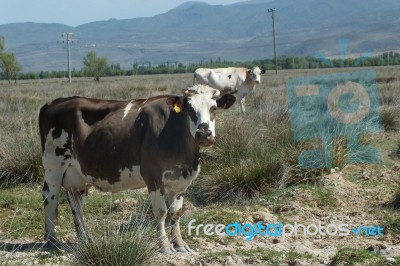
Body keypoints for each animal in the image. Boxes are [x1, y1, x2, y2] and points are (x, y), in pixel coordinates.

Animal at [38, 85, 234, 254]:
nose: (204, 134)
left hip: (76, 174)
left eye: (214, 108)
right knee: (50, 197)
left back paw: (85, 239)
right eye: (190, 109)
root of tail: (54, 102)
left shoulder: (180, 181)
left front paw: (180, 244)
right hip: (53, 165)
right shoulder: (153, 176)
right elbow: (161, 212)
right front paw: (164, 246)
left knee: (75, 201)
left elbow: (175, 213)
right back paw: (52, 240)